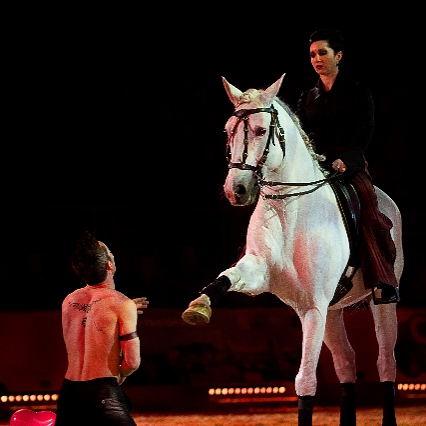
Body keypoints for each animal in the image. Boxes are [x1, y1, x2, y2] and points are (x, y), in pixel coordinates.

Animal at [181, 75, 404, 424]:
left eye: (261, 130)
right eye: (228, 130)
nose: (236, 190)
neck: (290, 210)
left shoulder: (313, 307)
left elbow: (306, 382)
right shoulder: (260, 274)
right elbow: (227, 276)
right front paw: (200, 306)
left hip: (380, 302)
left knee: (385, 363)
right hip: (333, 311)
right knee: (347, 363)